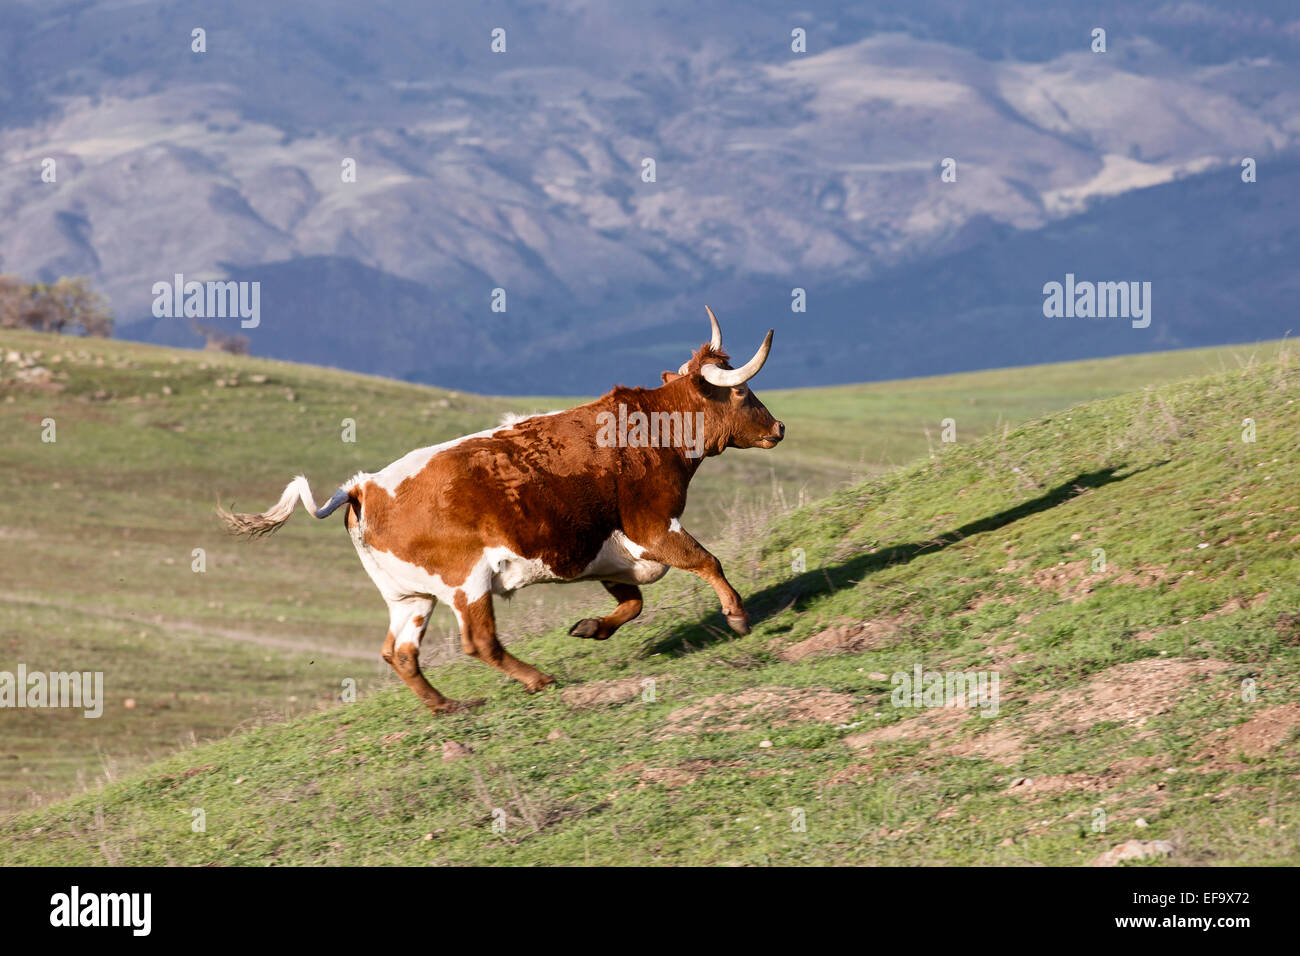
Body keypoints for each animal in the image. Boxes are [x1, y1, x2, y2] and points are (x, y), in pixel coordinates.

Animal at [219, 310, 785, 712]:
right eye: (740, 390)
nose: (779, 427)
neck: (653, 429)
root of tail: (364, 487)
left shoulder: (612, 552)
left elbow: (634, 603)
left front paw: (589, 628)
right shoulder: (653, 527)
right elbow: (707, 560)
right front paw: (737, 615)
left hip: (410, 595)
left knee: (400, 653)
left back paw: (447, 706)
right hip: (465, 583)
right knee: (479, 643)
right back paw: (538, 679)